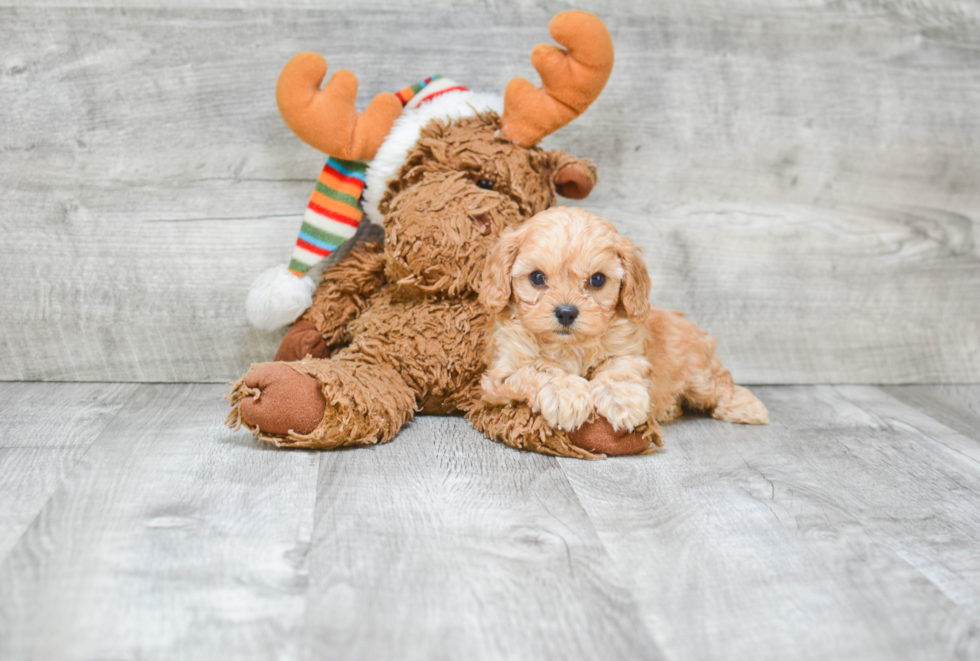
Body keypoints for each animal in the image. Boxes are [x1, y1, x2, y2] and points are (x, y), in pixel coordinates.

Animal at [478, 204, 768, 446]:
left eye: (597, 280)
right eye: (537, 278)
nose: (566, 313)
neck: (570, 345)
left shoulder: (629, 351)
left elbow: (617, 368)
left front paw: (622, 401)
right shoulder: (500, 374)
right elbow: (540, 369)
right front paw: (566, 394)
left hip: (699, 374)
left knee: (720, 384)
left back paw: (748, 407)